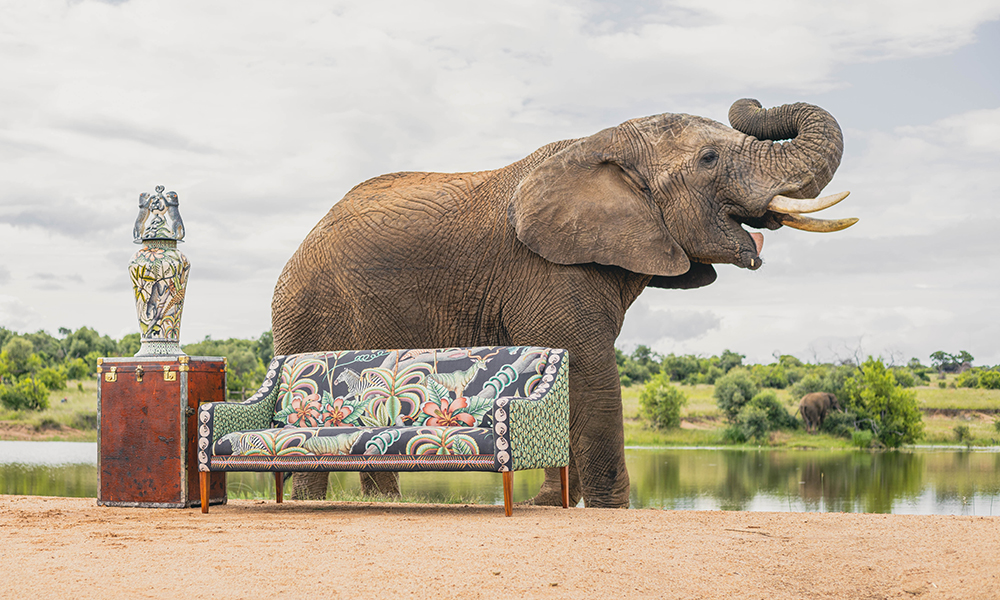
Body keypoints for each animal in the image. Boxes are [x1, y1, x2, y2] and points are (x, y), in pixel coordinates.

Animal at [271, 98, 855, 508]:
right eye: (710, 159)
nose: (751, 101)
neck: (603, 143)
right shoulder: (546, 268)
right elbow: (591, 370)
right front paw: (607, 510)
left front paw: (551, 504)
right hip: (305, 309)